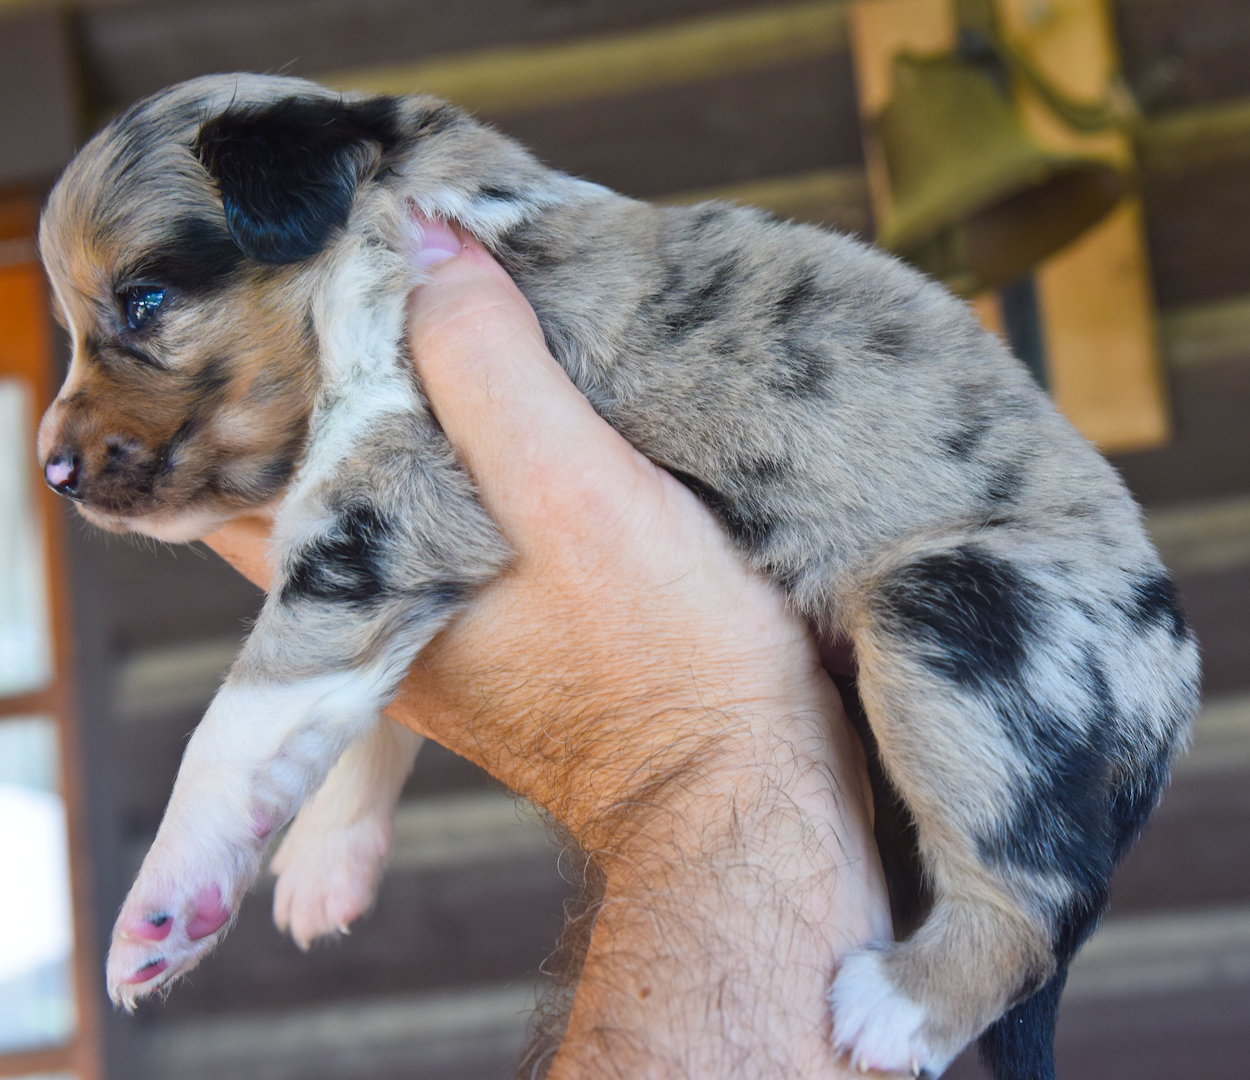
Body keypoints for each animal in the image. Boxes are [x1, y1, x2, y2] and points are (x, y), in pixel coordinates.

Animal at [34, 75, 1195, 1080]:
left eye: (142, 301)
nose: (50, 472)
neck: (367, 241)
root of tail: (1172, 681)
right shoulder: (391, 557)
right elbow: (358, 709)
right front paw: (329, 857)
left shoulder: (392, 498)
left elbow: (240, 719)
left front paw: (162, 906)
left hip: (959, 615)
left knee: (1035, 895)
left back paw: (902, 1006)